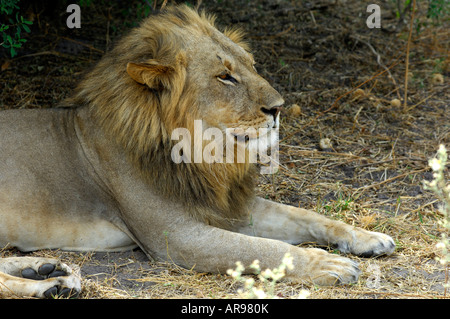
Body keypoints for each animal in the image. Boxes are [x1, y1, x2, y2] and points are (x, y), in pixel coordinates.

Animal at [0, 5, 394, 300]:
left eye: (251, 64)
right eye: (225, 76)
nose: (279, 108)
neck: (204, 155)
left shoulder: (225, 206)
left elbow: (305, 215)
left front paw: (367, 237)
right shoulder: (176, 237)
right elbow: (261, 249)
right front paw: (328, 265)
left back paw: (45, 270)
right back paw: (49, 284)